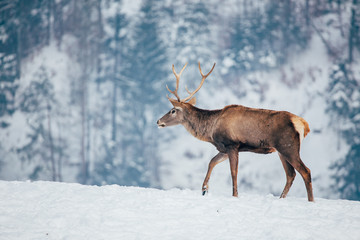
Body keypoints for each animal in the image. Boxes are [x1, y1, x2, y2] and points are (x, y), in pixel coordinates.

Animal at [156, 61, 314, 201]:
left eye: (173, 110)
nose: (158, 121)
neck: (211, 131)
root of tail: (303, 124)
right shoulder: (225, 148)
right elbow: (212, 161)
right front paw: (204, 188)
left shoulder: (231, 144)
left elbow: (233, 172)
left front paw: (234, 195)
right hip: (281, 151)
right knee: (291, 174)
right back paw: (281, 198)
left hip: (287, 146)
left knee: (305, 171)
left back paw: (310, 201)